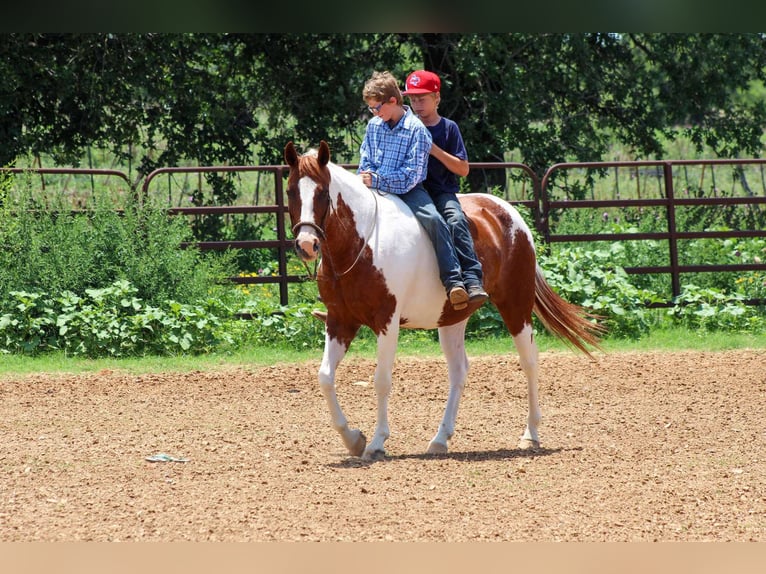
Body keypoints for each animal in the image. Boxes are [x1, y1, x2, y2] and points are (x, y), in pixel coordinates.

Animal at [283, 140, 604, 461]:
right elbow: (325, 377)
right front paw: (353, 440)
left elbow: (381, 380)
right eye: (290, 191)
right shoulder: (340, 321)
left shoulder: (387, 322)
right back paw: (440, 439)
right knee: (459, 371)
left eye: (322, 192)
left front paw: (376, 443)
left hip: (516, 305)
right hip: (452, 318)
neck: (362, 242)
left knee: (529, 362)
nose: (307, 245)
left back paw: (530, 434)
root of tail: (510, 215)